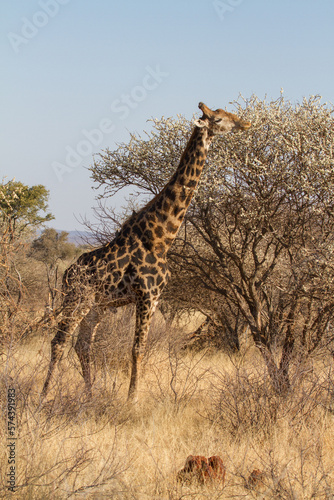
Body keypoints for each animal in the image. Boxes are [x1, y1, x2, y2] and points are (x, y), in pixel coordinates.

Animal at [41, 103, 250, 400]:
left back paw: (90, 396)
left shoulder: (155, 297)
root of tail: (67, 274)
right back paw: (44, 397)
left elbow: (137, 347)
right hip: (76, 299)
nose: (246, 124)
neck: (162, 236)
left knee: (82, 345)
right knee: (59, 341)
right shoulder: (147, 295)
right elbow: (138, 348)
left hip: (97, 306)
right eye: (219, 119)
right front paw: (133, 399)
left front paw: (129, 396)